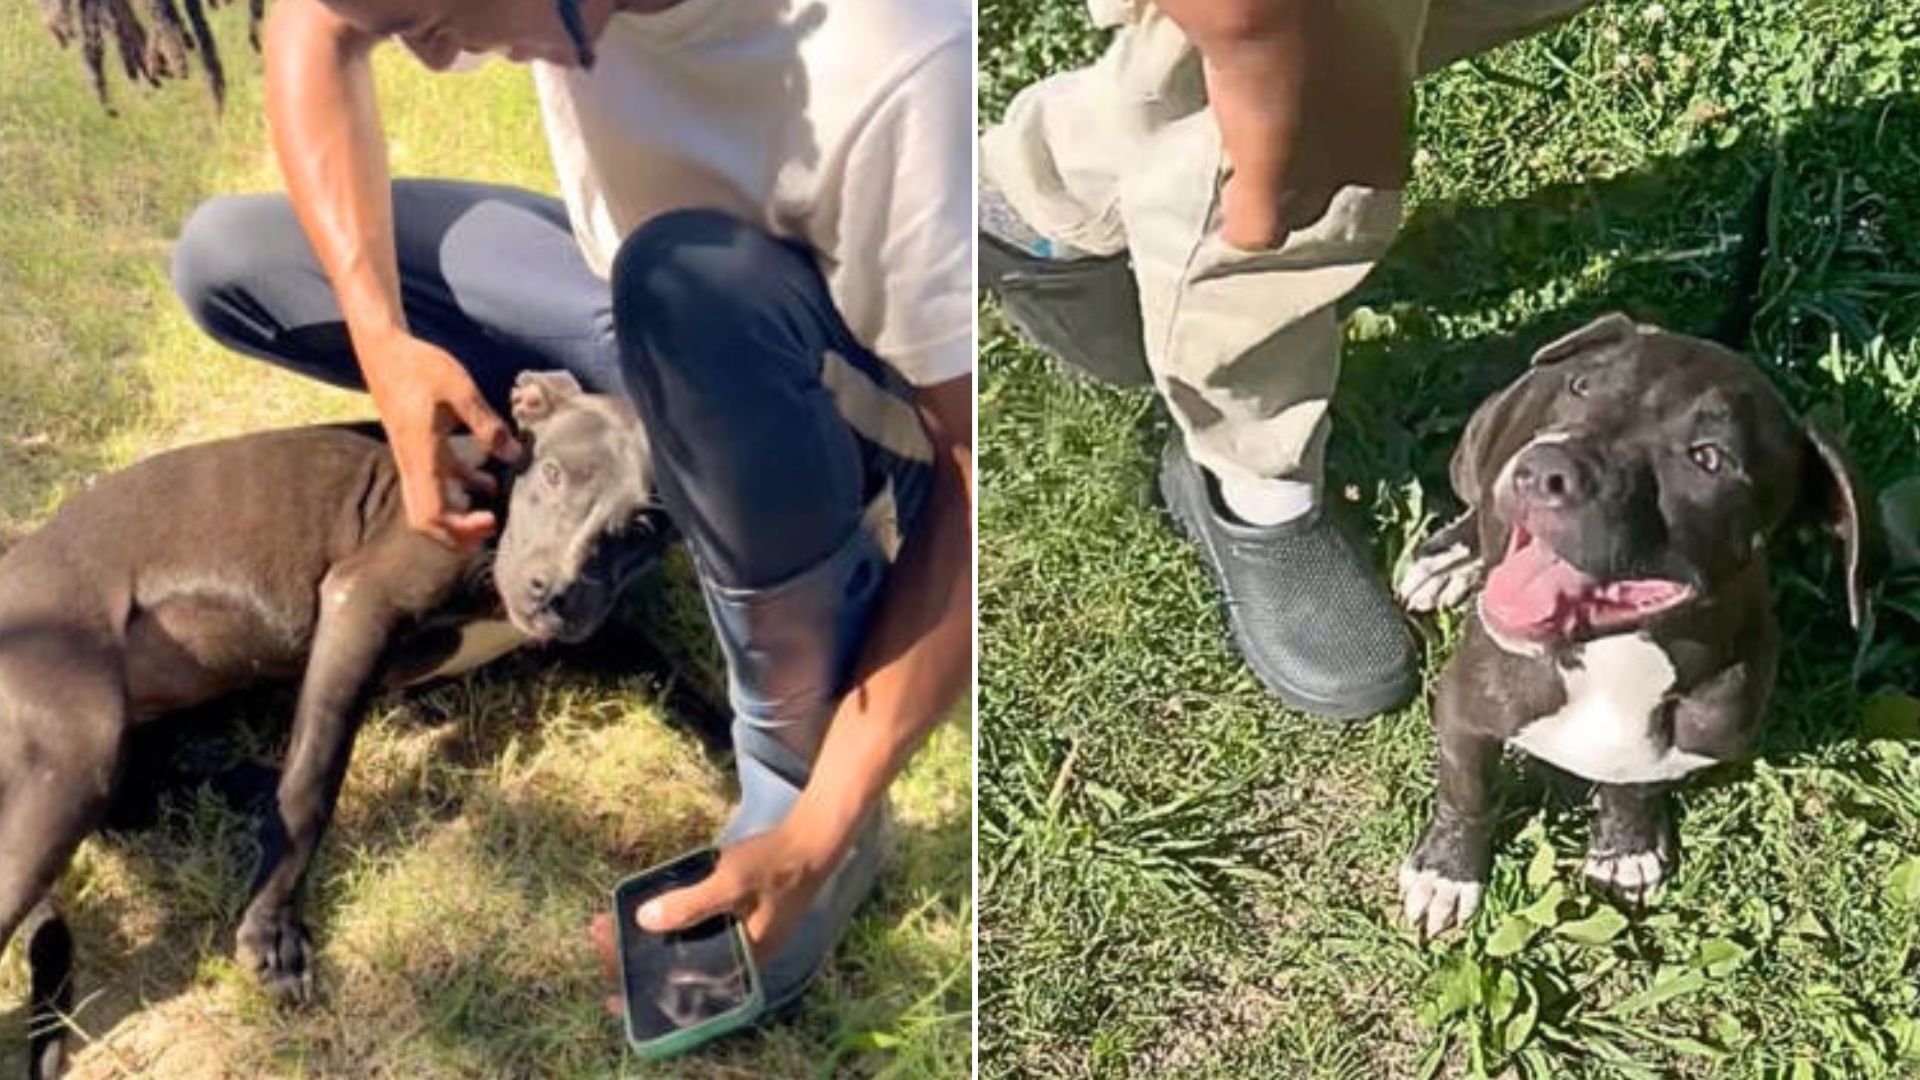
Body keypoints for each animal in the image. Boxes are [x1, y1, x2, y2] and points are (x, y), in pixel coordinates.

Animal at [0, 367, 660, 1068]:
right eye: (554, 473)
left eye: (645, 528)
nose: (554, 593)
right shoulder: (360, 601)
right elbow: (312, 784)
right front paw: (272, 931)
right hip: (74, 754)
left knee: (139, 798)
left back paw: (245, 787)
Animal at [1390, 311, 1866, 933]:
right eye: (1581, 386)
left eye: (1709, 458)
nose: (1544, 468)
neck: (1617, 656)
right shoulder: (1465, 710)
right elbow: (1466, 793)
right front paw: (1446, 873)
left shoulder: (1686, 738)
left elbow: (1634, 780)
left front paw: (1625, 845)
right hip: (1479, 443)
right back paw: (1446, 560)